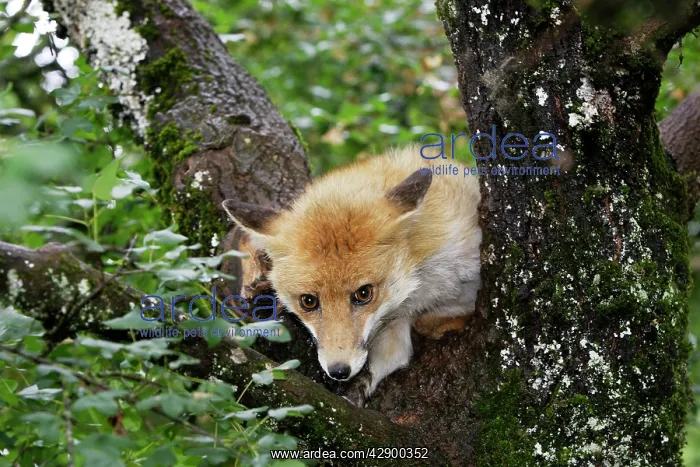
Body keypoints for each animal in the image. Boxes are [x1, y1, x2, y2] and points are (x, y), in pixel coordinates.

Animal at [222, 144, 481, 406]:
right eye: (308, 301)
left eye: (364, 293)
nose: (338, 371)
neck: (418, 282)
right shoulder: (395, 324)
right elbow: (391, 357)